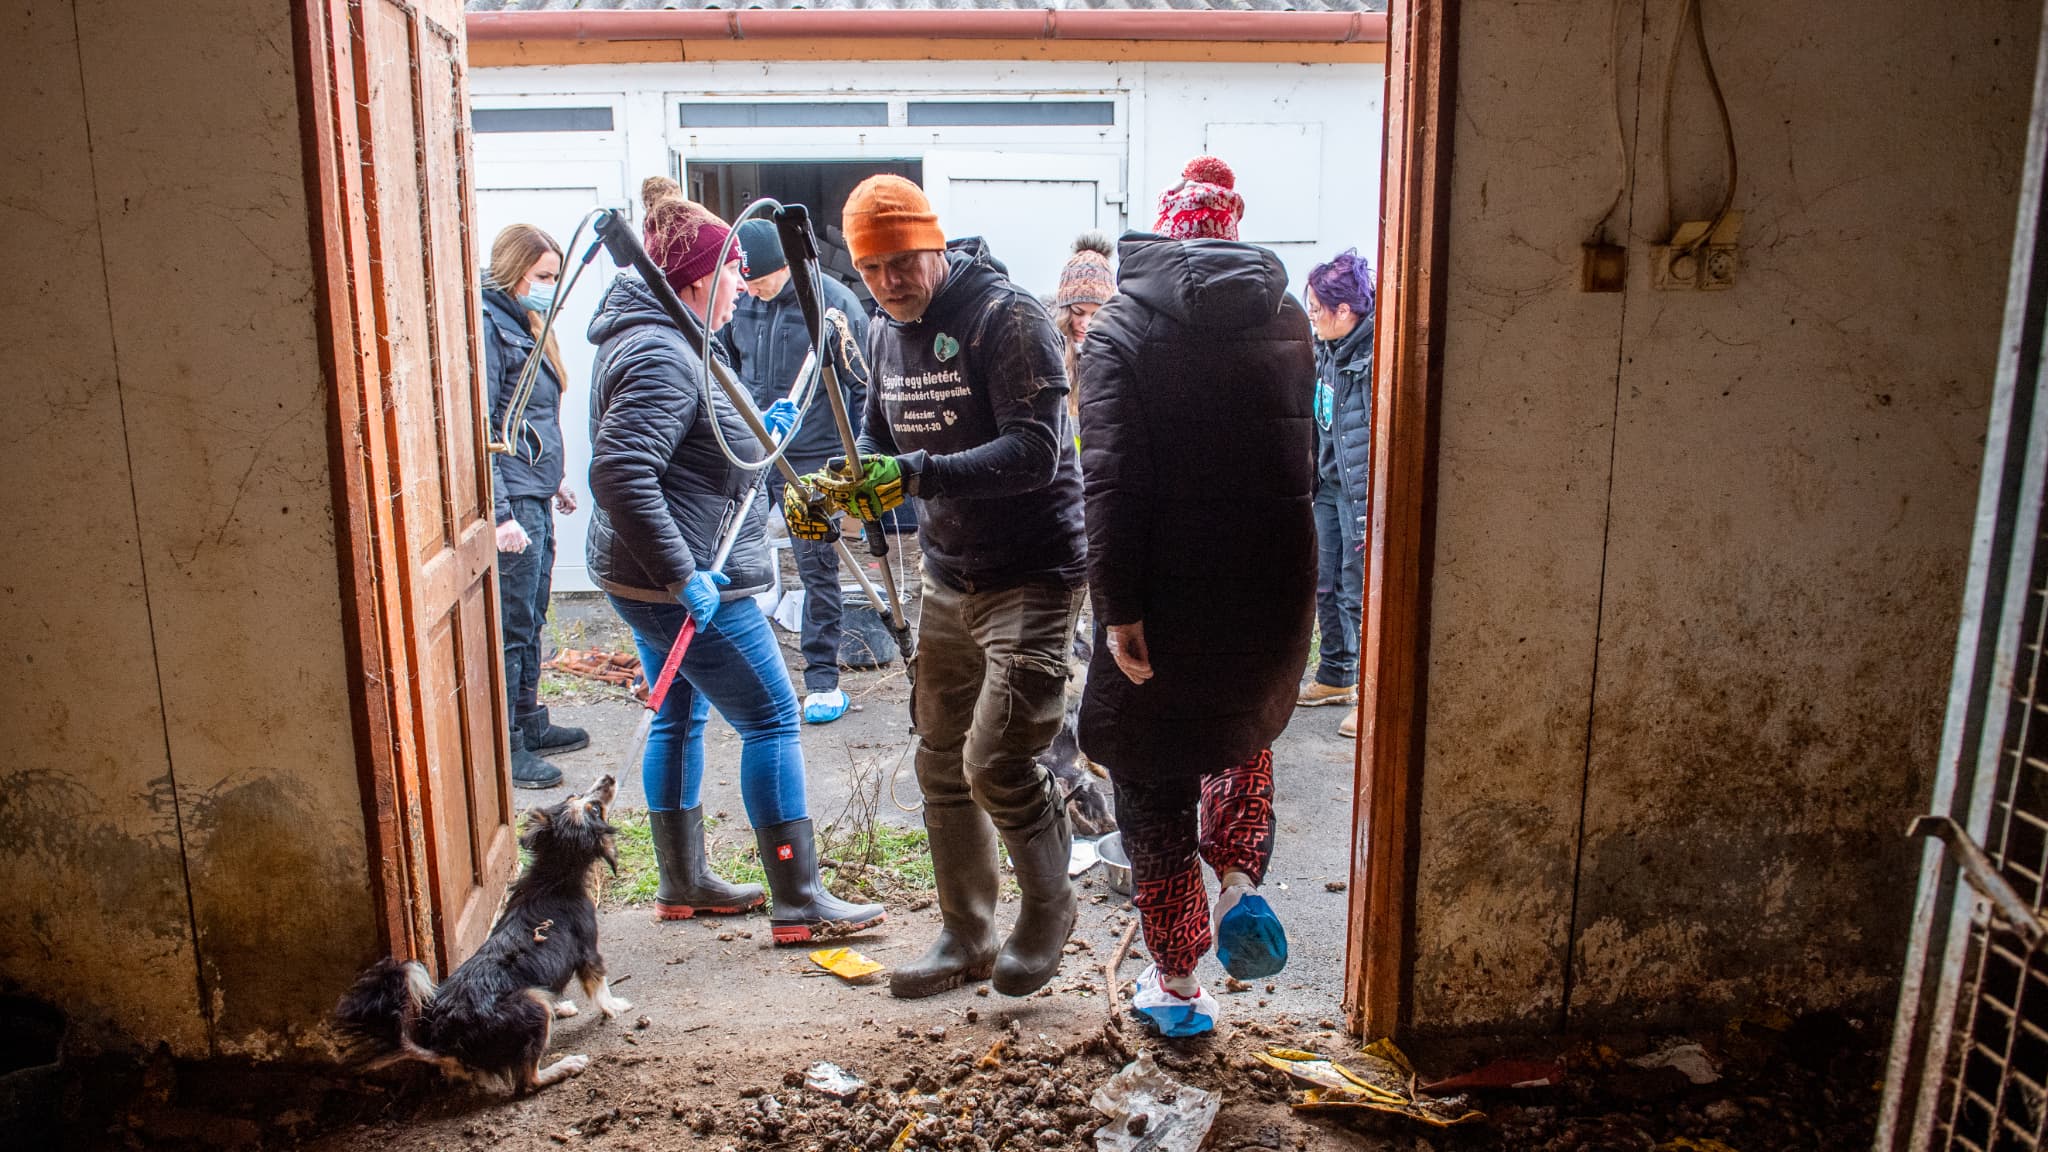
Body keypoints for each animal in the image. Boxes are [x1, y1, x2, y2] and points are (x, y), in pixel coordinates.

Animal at [335, 770, 630, 1082]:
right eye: (594, 808)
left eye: (576, 797)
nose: (609, 777)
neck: (552, 877)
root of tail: (444, 1045)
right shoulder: (588, 951)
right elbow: (600, 986)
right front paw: (615, 1006)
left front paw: (560, 1005)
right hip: (531, 1004)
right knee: (528, 1079)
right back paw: (565, 1066)